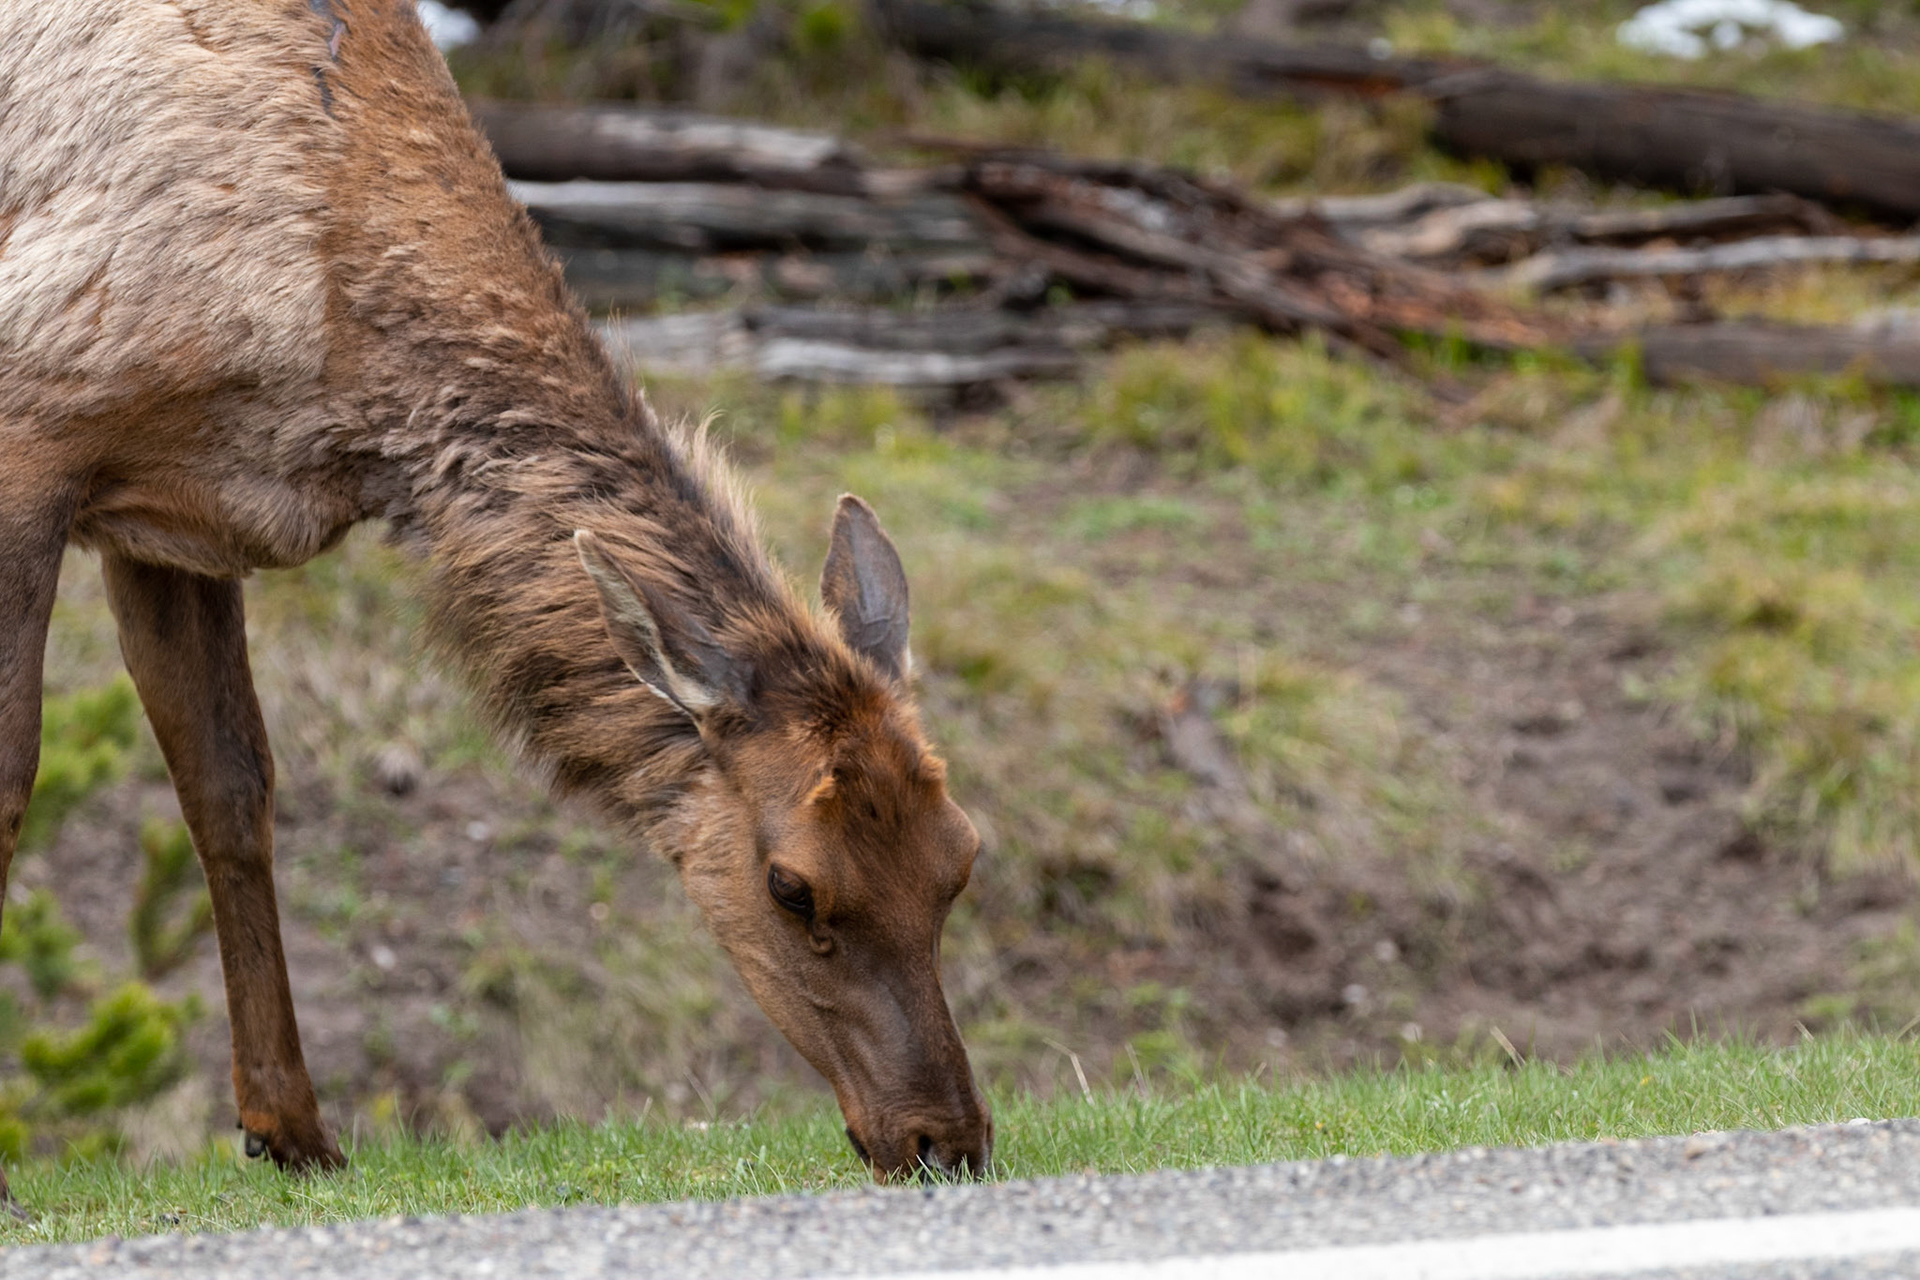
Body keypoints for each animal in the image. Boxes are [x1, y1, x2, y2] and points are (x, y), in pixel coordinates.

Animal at [0, 0, 990, 1204]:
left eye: (960, 860)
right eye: (791, 885)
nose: (945, 1141)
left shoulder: (184, 512)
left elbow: (231, 795)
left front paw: (294, 1130)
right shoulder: (36, 419)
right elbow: (13, 784)